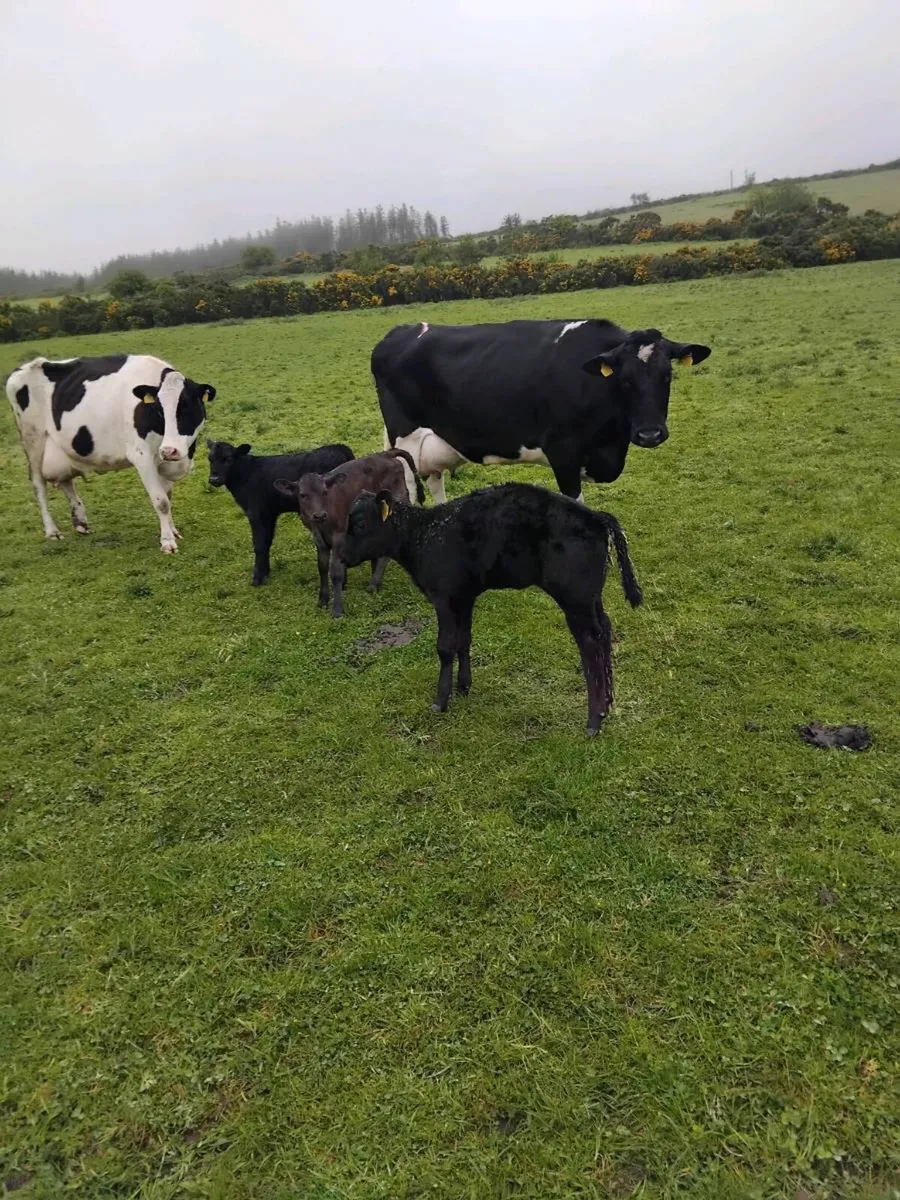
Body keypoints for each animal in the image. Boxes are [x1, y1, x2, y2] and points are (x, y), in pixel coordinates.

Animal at [5, 354, 216, 552]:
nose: (169, 450)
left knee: (66, 481)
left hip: (62, 448)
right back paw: (52, 531)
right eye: (158, 411)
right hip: (32, 440)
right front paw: (167, 542)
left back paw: (80, 522)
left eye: (187, 407)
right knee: (38, 484)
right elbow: (161, 501)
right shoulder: (141, 455)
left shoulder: (164, 461)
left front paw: (172, 531)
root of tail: (24, 367)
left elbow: (168, 496)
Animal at [207, 439, 355, 585]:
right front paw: (265, 572)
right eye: (210, 459)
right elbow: (267, 542)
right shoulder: (269, 514)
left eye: (228, 459)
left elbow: (259, 544)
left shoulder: (256, 513)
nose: (214, 479)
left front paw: (257, 578)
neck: (246, 475)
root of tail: (339, 448)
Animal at [274, 449, 423, 617]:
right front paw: (323, 599)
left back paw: (374, 584)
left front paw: (337, 608)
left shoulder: (339, 534)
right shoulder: (318, 538)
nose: (319, 515)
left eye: (325, 492)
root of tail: (385, 454)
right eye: (302, 495)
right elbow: (322, 567)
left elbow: (336, 571)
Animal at [340, 482, 643, 735]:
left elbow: (445, 647)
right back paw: (608, 702)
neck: (423, 535)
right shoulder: (464, 597)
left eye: (359, 523)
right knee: (604, 630)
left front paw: (440, 700)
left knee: (590, 643)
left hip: (574, 598)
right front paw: (463, 686)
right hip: (591, 597)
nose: (342, 556)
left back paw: (594, 718)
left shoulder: (444, 597)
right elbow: (463, 640)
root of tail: (596, 518)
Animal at [373, 318, 711, 503]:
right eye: (624, 380)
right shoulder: (562, 451)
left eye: (667, 375)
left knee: (434, 481)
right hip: (405, 440)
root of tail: (401, 331)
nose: (650, 434)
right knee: (410, 489)